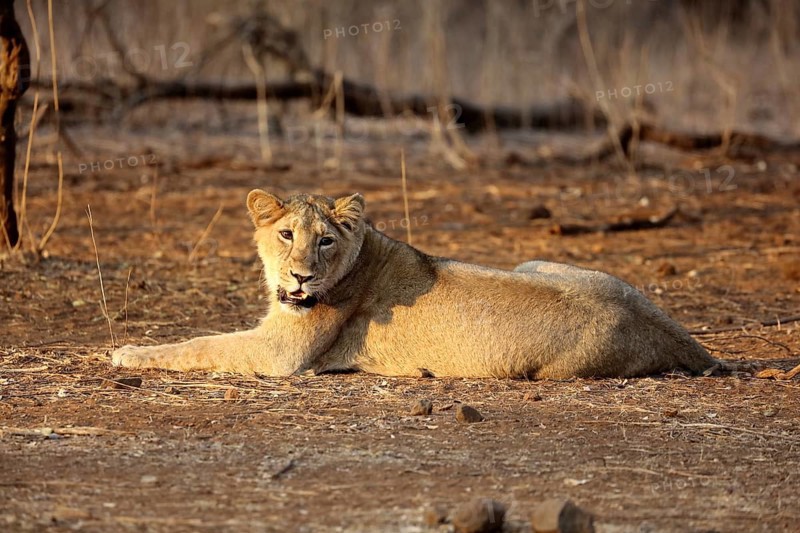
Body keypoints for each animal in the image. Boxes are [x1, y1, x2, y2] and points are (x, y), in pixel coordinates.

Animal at [111, 190, 719, 379]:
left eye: (324, 241)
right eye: (286, 234)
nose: (302, 275)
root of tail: (678, 336)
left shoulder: (281, 354)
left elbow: (199, 345)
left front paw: (126, 352)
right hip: (538, 260)